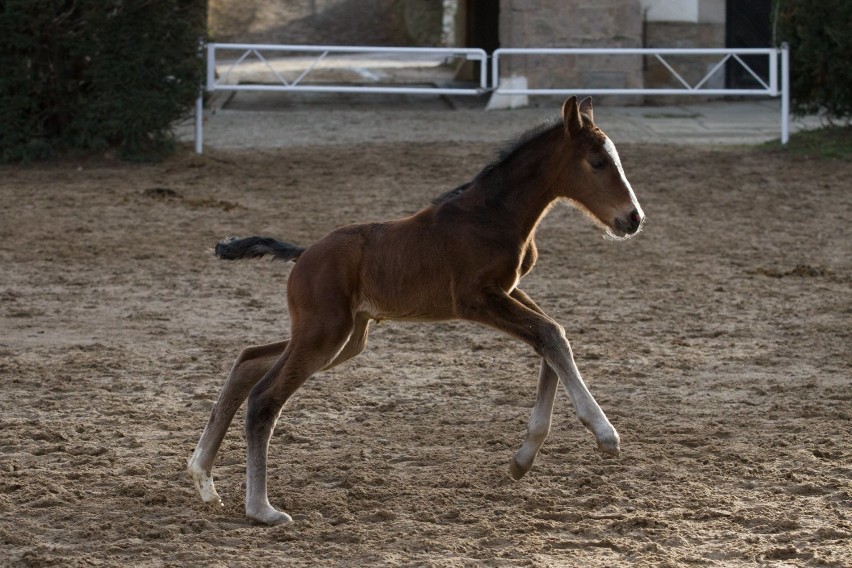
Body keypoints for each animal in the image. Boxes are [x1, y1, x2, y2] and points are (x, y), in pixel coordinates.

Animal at [188, 96, 644, 524]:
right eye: (598, 162)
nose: (633, 219)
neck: (493, 214)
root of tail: (304, 254)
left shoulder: (510, 291)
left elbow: (551, 336)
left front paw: (522, 459)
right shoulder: (475, 298)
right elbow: (550, 335)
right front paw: (604, 434)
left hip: (342, 337)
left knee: (248, 360)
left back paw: (204, 479)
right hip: (325, 334)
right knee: (264, 396)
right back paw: (260, 509)